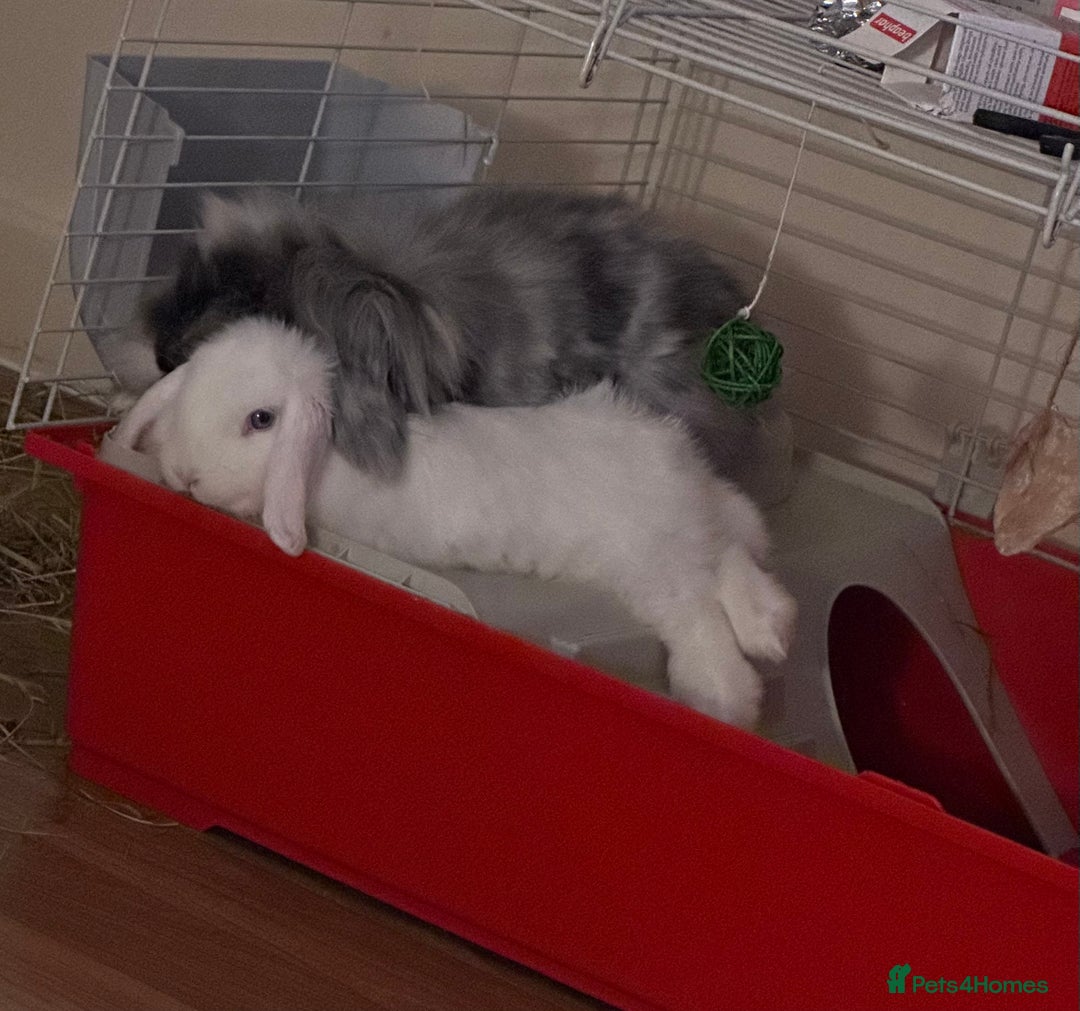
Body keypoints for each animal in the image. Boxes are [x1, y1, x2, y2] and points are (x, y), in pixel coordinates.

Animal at [112, 317, 796, 729]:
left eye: (261, 420)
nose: (187, 476)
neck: (326, 454)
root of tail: (677, 469)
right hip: (694, 537)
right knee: (733, 562)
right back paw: (776, 629)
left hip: (651, 568)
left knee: (699, 618)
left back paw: (726, 700)